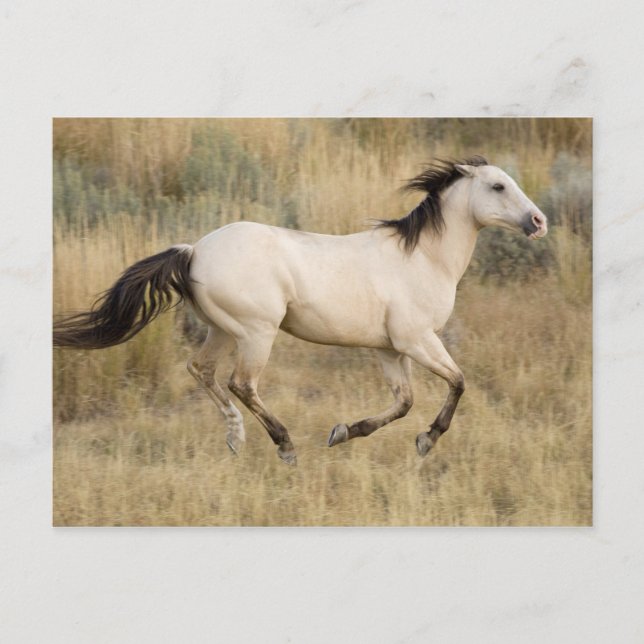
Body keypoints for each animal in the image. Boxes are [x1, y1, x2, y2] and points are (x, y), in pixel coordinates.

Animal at [53, 156, 548, 465]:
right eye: (498, 185)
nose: (539, 222)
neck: (424, 257)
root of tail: (194, 251)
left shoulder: (390, 349)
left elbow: (404, 402)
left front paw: (344, 432)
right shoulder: (418, 340)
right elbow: (458, 383)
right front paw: (427, 440)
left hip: (222, 330)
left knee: (201, 370)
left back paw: (235, 438)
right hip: (256, 332)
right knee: (241, 383)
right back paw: (285, 446)